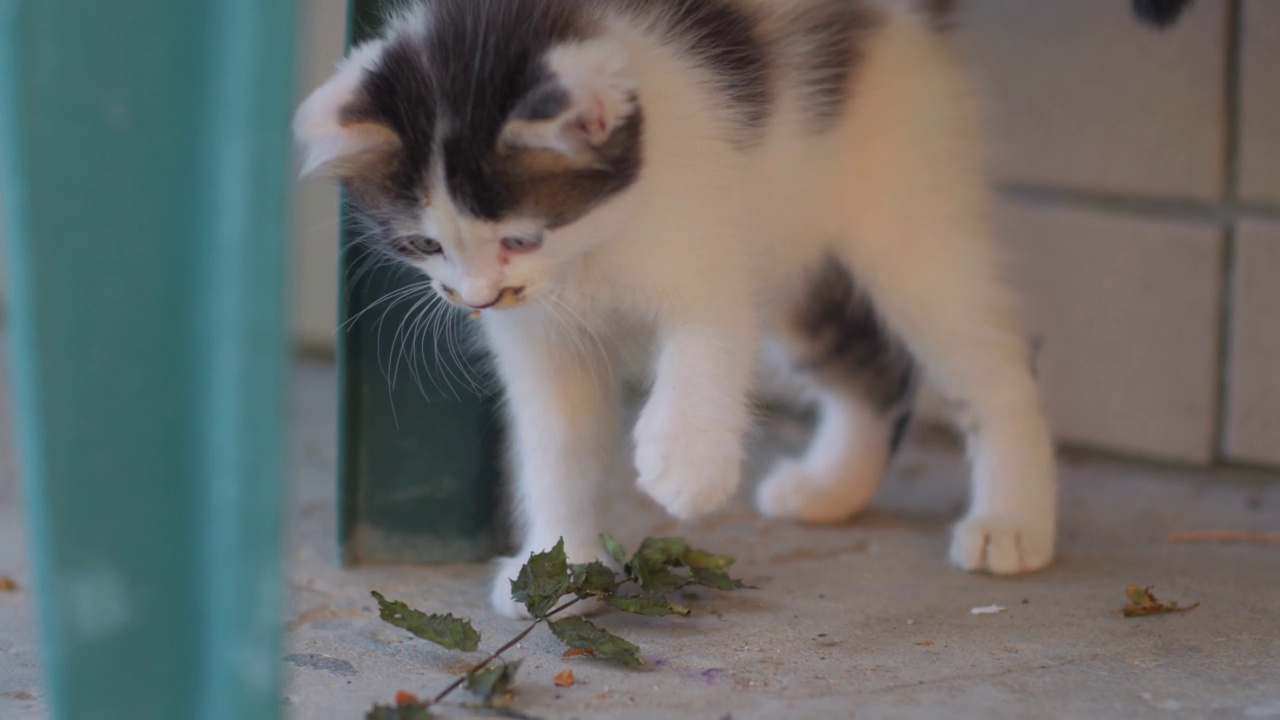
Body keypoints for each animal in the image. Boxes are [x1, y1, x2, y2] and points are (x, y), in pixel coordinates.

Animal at [294, 1, 1054, 617]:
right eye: (426, 244)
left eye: (520, 238)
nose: (480, 296)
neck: (589, 248)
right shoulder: (543, 335)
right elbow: (556, 445)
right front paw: (560, 567)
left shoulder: (704, 235)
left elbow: (708, 340)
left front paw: (686, 462)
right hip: (794, 228)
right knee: (873, 369)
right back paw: (831, 488)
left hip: (904, 207)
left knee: (991, 362)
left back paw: (1012, 520)